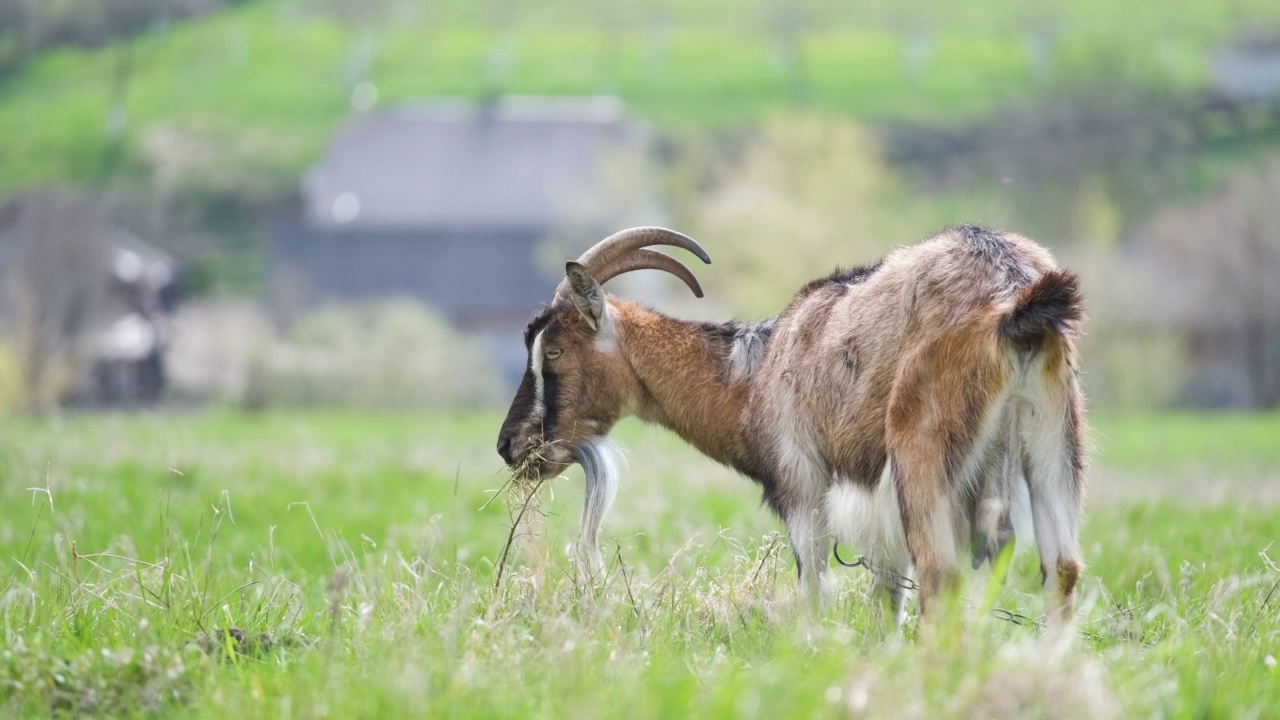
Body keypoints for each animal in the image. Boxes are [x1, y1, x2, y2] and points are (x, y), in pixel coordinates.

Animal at [494, 225, 1085, 622]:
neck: (757, 374)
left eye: (554, 351)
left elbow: (816, 588)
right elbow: (886, 596)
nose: (509, 445)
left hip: (923, 448)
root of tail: (1013, 292)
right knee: (1062, 569)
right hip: (1054, 441)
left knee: (942, 576)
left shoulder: (802, 481)